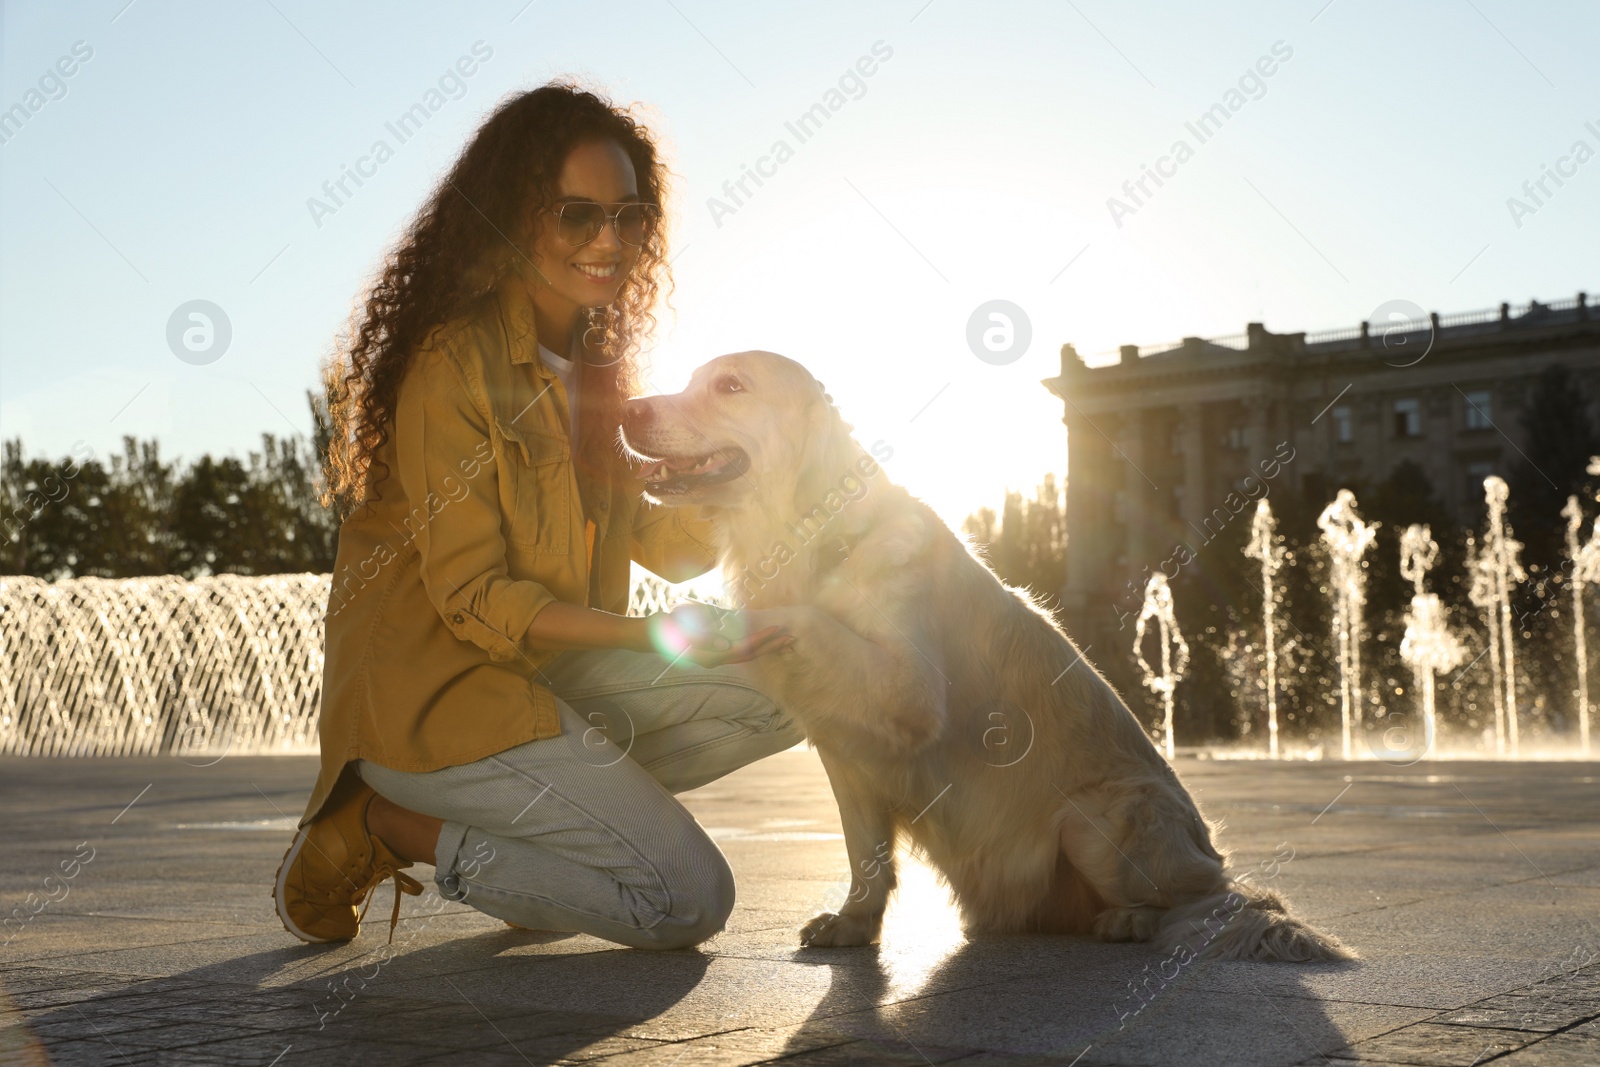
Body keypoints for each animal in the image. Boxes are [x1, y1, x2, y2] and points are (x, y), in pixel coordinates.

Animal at [620, 355, 1350, 966]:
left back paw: (1133, 920)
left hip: (1100, 819)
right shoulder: (846, 751)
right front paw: (855, 923)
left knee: (1210, 899)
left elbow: (804, 620)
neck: (811, 533)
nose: (625, 408)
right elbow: (865, 853)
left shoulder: (910, 690)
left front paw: (715, 623)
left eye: (730, 386)